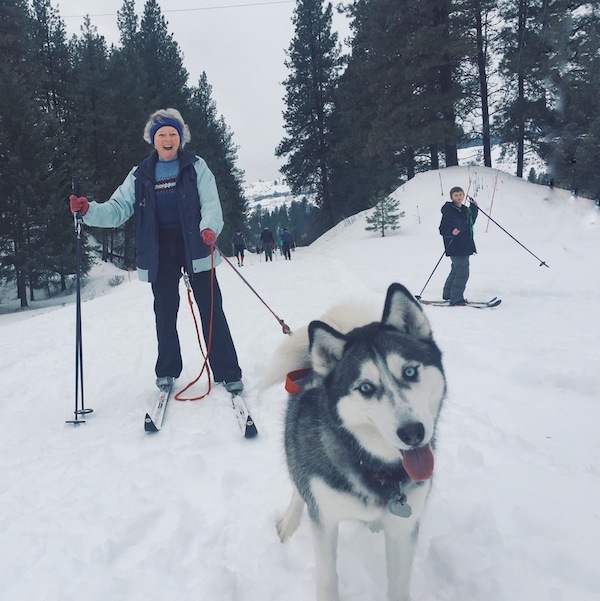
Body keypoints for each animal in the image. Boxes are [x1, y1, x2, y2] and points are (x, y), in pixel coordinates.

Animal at [276, 284, 446, 600]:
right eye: (366, 388)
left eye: (409, 372)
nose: (413, 433)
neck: (375, 466)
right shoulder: (325, 520)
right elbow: (328, 581)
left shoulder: (404, 528)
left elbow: (398, 587)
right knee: (297, 488)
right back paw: (290, 521)